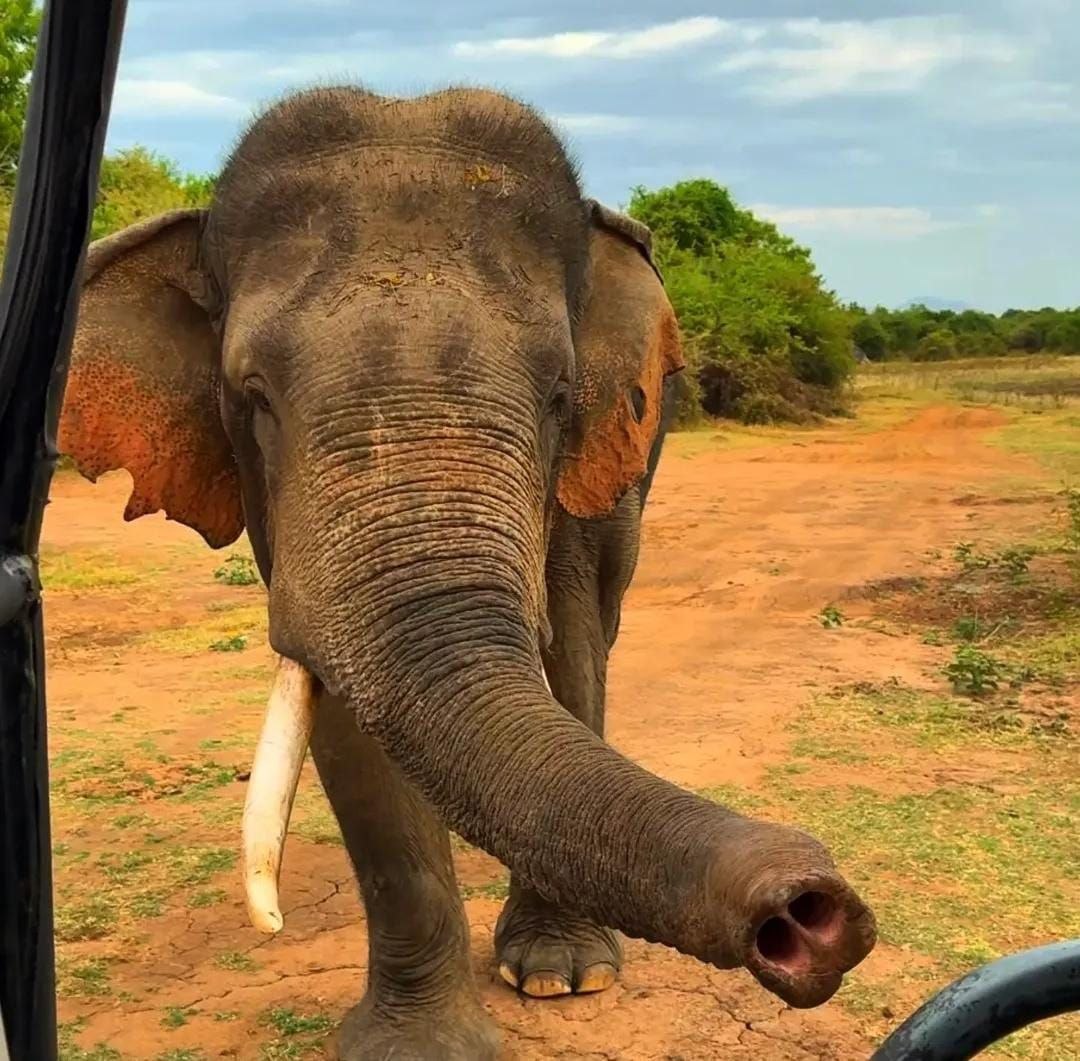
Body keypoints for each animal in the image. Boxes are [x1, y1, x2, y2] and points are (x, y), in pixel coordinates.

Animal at [56, 86, 876, 1059]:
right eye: (251, 395)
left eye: (559, 393)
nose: (809, 910)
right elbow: (343, 713)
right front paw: (418, 1046)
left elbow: (571, 650)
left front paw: (565, 977)